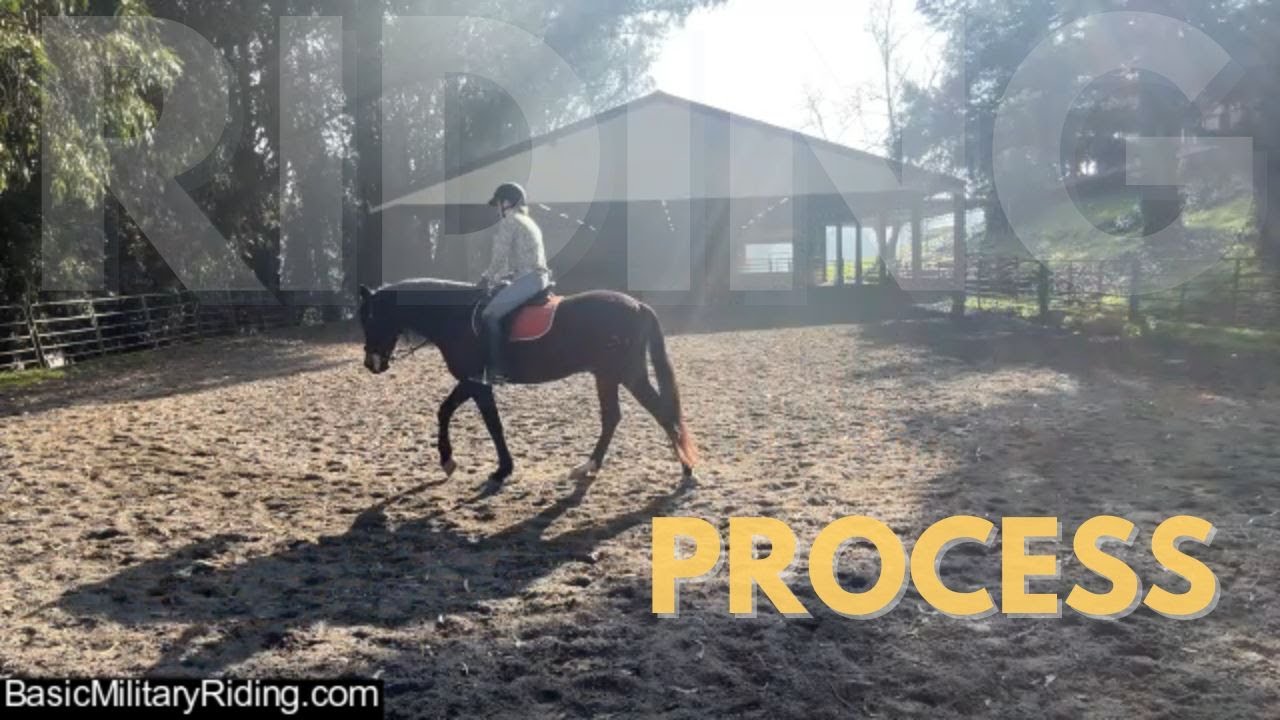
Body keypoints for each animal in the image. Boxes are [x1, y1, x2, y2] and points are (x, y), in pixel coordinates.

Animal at [357, 278, 698, 484]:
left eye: (370, 318)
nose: (371, 364)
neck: (455, 317)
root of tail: (638, 306)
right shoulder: (473, 383)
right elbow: (447, 411)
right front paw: (449, 461)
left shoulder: (476, 382)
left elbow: (490, 423)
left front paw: (500, 469)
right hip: (608, 375)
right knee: (614, 417)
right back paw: (589, 466)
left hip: (626, 373)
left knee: (660, 412)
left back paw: (686, 468)